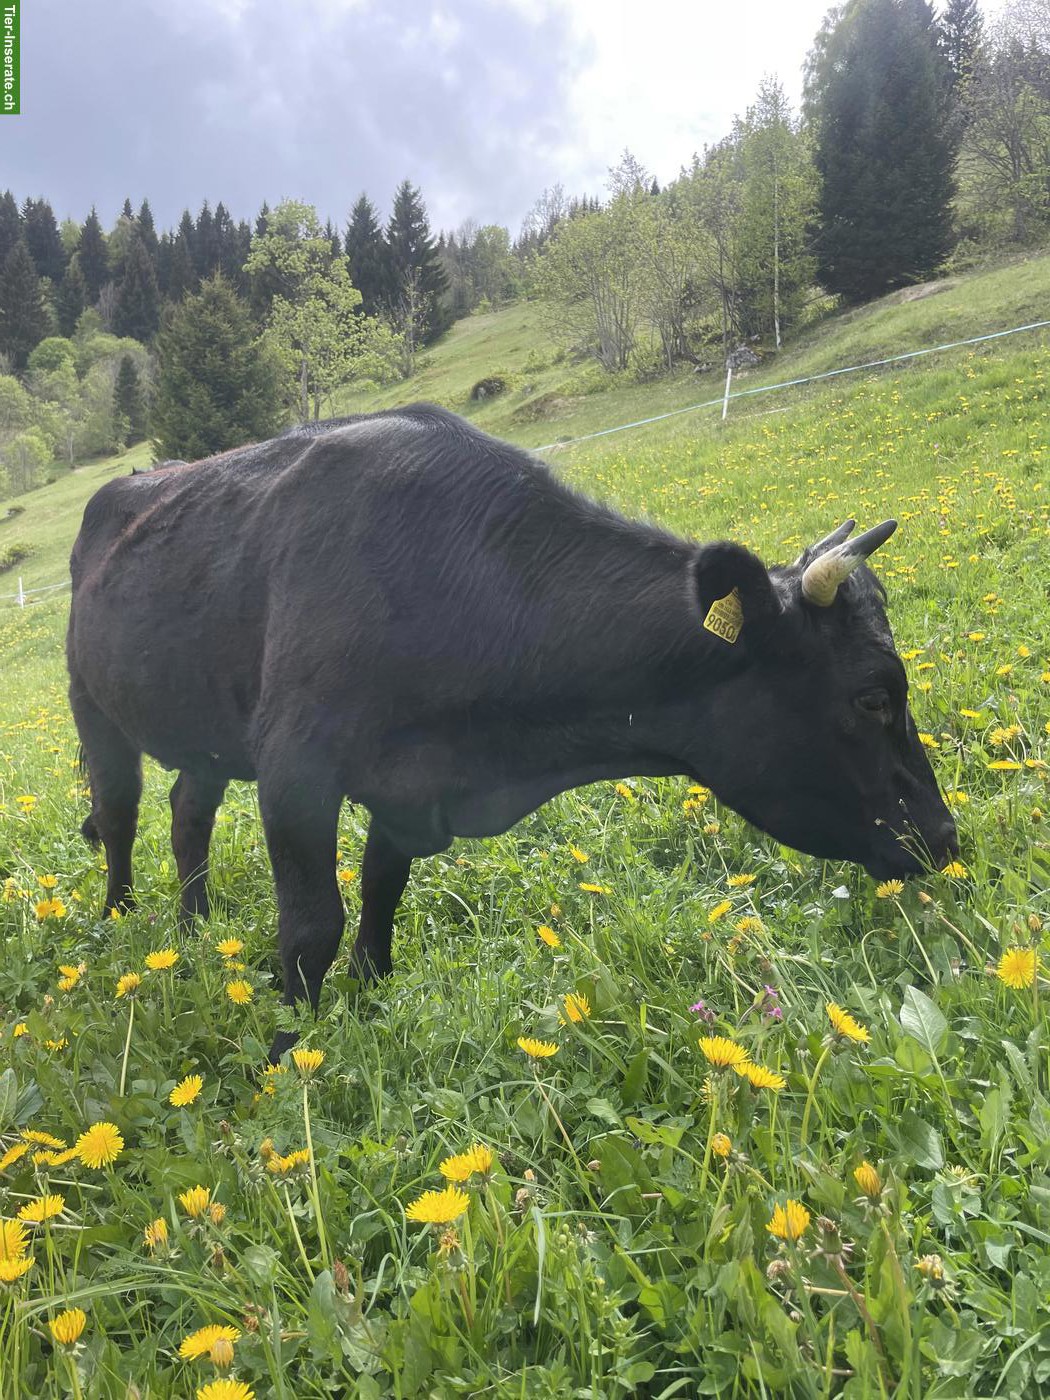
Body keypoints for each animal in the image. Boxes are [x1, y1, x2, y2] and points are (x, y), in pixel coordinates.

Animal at [67, 404, 957, 1058]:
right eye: (874, 697)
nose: (945, 837)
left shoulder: (408, 787)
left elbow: (382, 894)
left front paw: (371, 994)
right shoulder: (296, 773)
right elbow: (311, 927)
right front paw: (293, 1050)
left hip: (208, 725)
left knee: (188, 811)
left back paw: (193, 929)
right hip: (92, 703)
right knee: (120, 812)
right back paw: (121, 922)